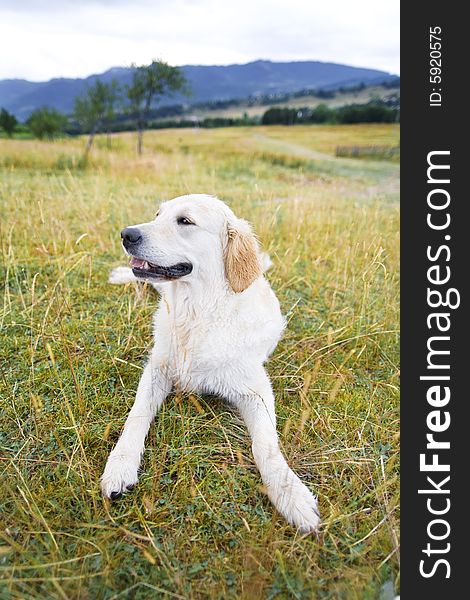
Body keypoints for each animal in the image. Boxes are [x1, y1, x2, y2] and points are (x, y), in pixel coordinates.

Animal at [101, 195, 322, 532]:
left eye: (185, 221)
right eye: (157, 214)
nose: (127, 234)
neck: (197, 315)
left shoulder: (256, 390)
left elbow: (266, 445)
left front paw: (290, 493)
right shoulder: (157, 369)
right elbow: (136, 417)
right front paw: (120, 465)